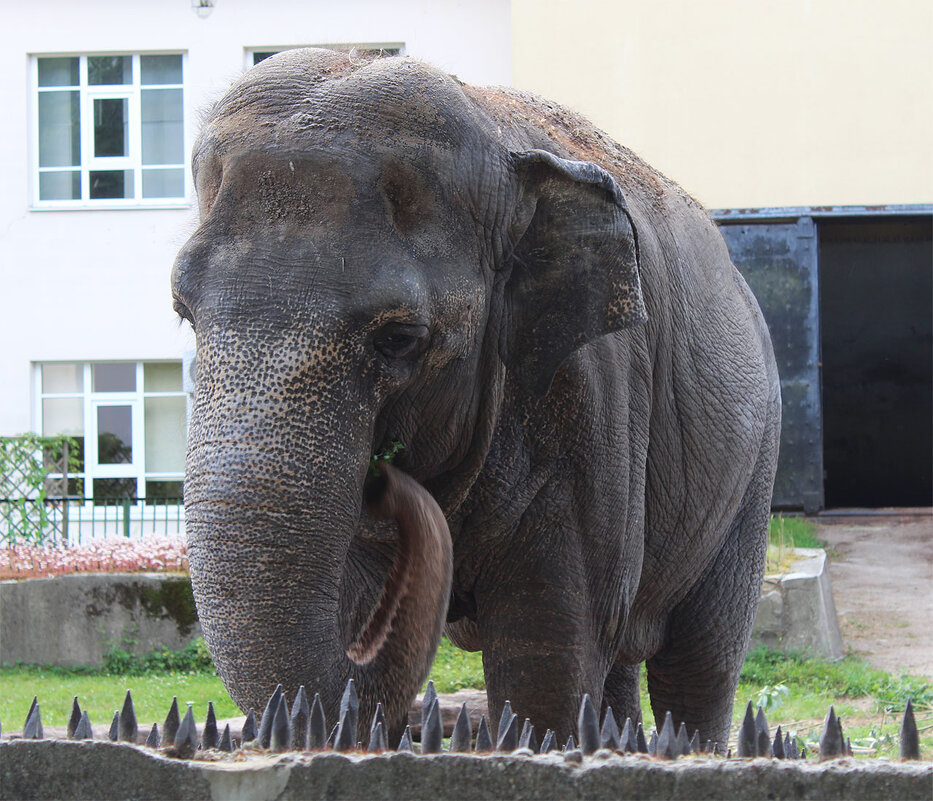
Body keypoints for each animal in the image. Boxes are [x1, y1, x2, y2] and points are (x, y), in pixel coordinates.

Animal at [173, 48, 780, 752]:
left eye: (400, 338)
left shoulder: (590, 392)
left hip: (753, 463)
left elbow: (552, 650)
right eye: (183, 313)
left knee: (698, 662)